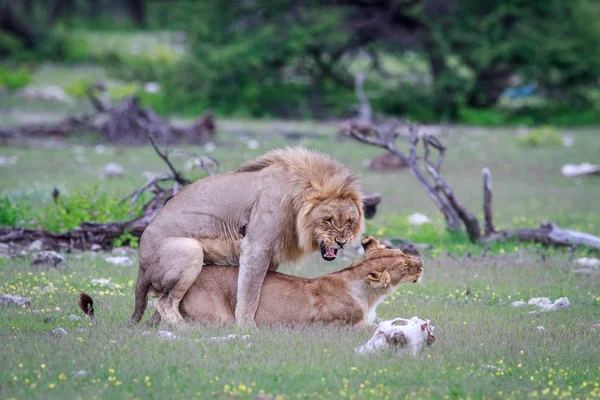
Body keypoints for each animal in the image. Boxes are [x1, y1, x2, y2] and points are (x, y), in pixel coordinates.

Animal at [132, 147, 366, 324]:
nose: (342, 242)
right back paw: (187, 330)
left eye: (349, 221)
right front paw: (247, 327)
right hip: (190, 250)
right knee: (164, 303)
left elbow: (260, 289)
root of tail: (140, 267)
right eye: (328, 220)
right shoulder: (256, 247)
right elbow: (249, 294)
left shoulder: (271, 255)